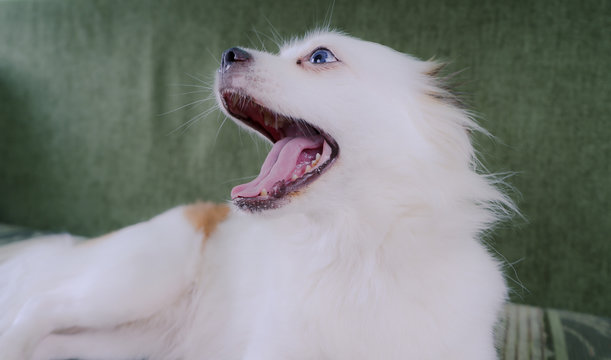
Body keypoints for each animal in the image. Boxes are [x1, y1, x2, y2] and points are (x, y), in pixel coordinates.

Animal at [0, 31, 512, 360]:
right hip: (132, 284)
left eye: (320, 57)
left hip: (126, 340)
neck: (352, 255)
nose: (227, 53)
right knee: (38, 307)